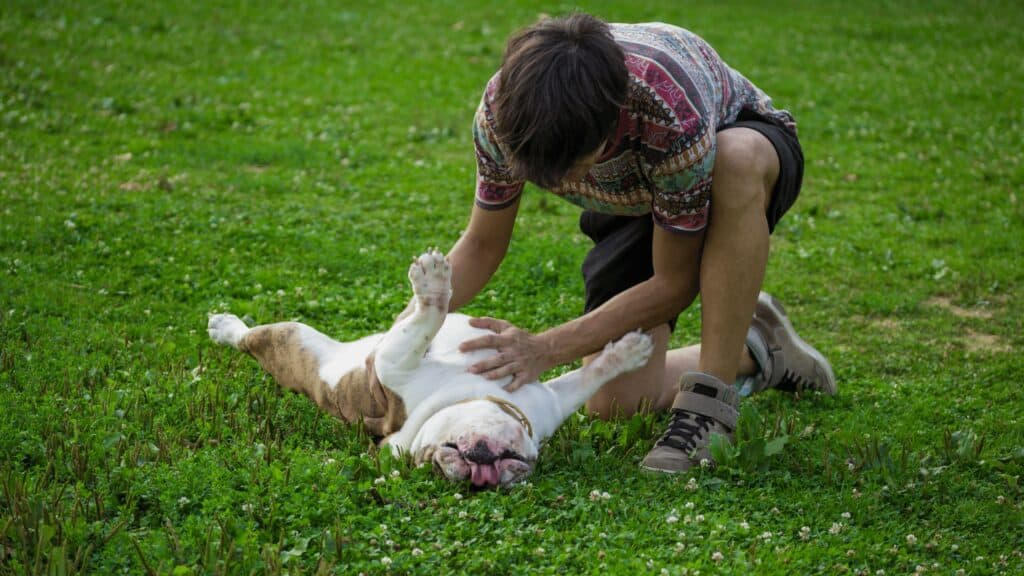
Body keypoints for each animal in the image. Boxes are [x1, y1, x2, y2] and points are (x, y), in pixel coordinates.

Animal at [207, 249, 651, 485]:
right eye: (435, 460)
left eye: (519, 467)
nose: (482, 476)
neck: (470, 393)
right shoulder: (395, 364)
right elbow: (425, 322)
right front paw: (434, 284)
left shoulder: (553, 402)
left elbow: (589, 376)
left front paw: (628, 351)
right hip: (297, 340)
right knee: (249, 338)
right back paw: (224, 326)